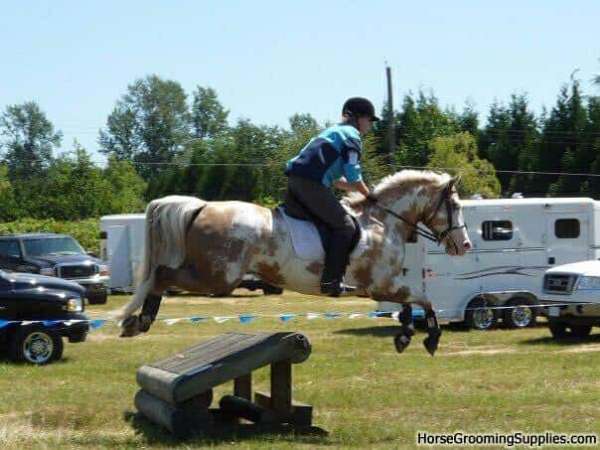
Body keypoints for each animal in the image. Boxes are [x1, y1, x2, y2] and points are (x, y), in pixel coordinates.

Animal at [115, 170, 472, 356]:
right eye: (455, 206)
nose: (465, 245)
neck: (382, 221)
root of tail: (202, 206)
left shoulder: (386, 285)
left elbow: (411, 303)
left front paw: (404, 336)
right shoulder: (379, 284)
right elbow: (424, 299)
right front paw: (430, 338)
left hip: (215, 275)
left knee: (161, 276)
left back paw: (135, 322)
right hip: (219, 277)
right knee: (162, 275)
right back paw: (140, 321)